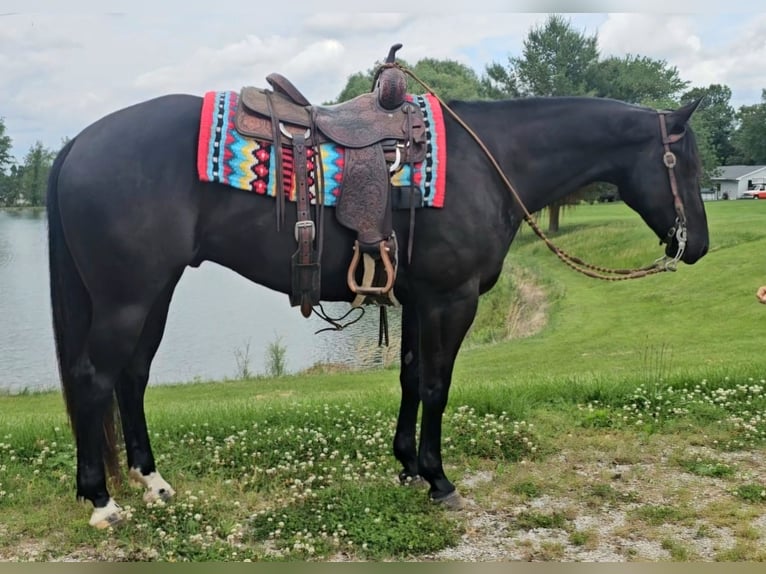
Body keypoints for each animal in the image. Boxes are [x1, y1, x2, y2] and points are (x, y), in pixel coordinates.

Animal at [46, 89, 708, 528]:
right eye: (687, 164)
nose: (697, 245)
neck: (487, 161)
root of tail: (78, 142)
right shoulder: (451, 298)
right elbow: (437, 385)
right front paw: (439, 480)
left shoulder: (417, 300)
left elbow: (412, 379)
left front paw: (408, 465)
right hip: (127, 298)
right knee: (94, 379)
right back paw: (100, 500)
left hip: (153, 294)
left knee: (131, 378)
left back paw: (151, 481)